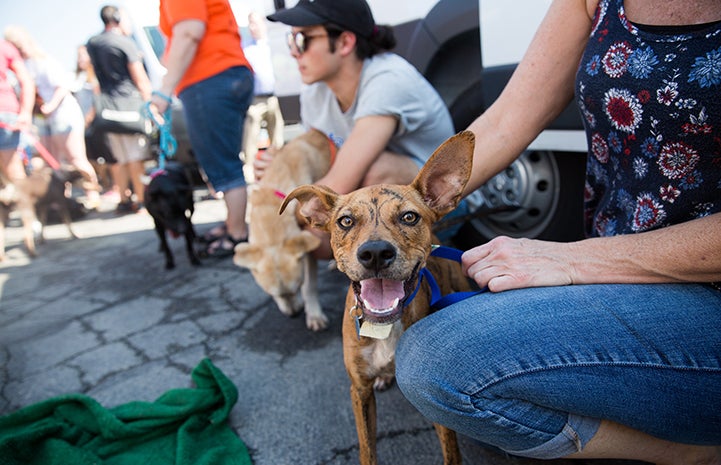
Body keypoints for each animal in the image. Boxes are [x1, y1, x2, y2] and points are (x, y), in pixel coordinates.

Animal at [236, 128, 334, 330]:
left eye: (297, 287)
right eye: (273, 294)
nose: (294, 314)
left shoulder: (308, 249)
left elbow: (310, 286)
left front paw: (314, 315)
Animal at [278, 130, 476, 460]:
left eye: (409, 217)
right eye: (345, 221)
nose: (375, 253)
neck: (385, 326)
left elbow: (451, 451)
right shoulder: (359, 390)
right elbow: (367, 448)